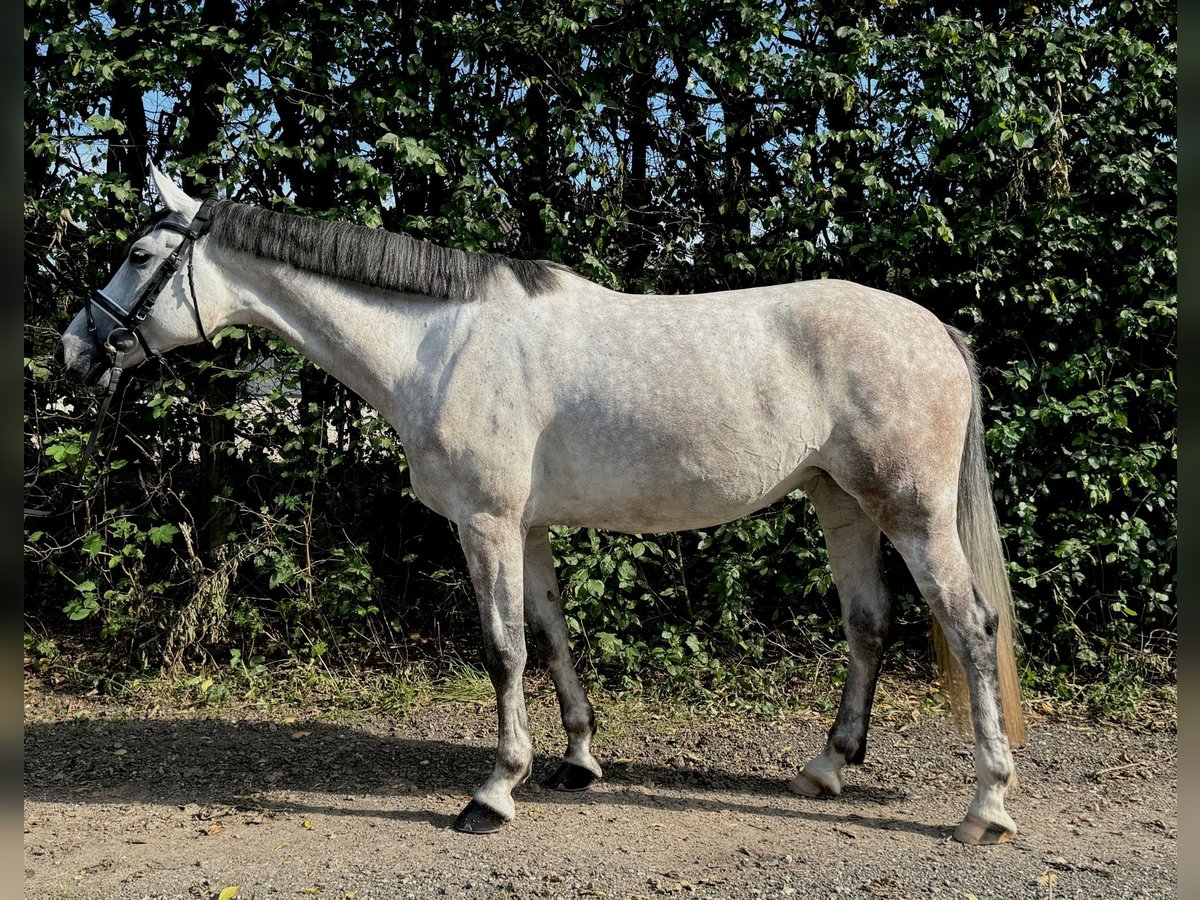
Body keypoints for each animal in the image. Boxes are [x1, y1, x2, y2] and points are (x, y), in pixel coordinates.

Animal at [58, 168, 1022, 844]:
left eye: (139, 256)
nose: (75, 349)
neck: (441, 345)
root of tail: (937, 331)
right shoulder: (525, 529)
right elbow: (550, 638)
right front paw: (577, 760)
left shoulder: (483, 523)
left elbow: (501, 649)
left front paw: (493, 792)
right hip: (842, 504)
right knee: (868, 623)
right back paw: (825, 768)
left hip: (912, 513)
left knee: (972, 627)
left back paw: (986, 807)